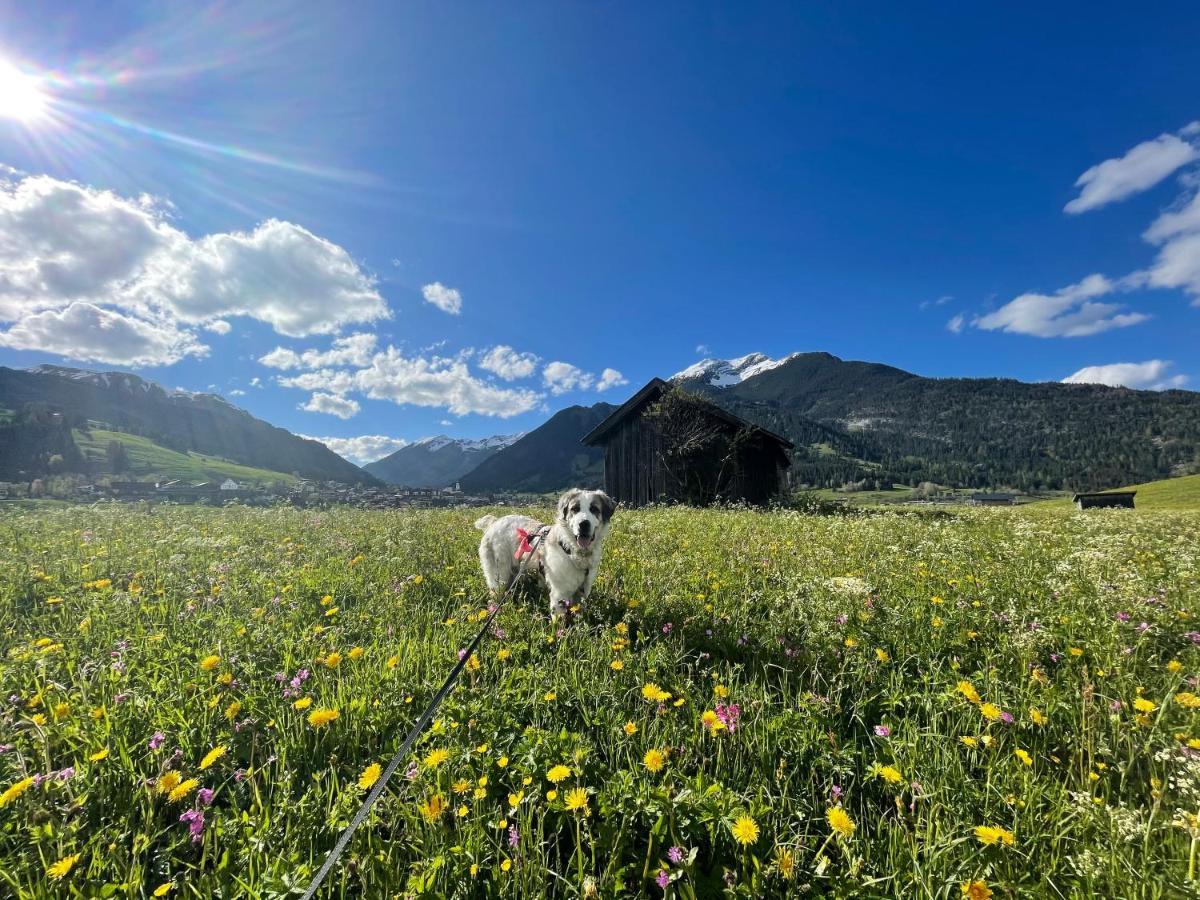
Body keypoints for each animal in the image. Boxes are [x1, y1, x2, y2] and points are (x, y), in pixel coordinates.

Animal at [472, 487, 614, 619]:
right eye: (575, 509)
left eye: (594, 509)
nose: (583, 524)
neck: (572, 550)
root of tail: (494, 523)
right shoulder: (559, 595)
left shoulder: (581, 593)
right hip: (499, 577)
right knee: (494, 596)